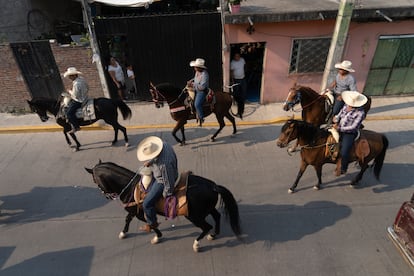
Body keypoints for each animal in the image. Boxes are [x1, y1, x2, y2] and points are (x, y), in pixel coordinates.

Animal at [85, 160, 243, 252]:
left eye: (94, 180)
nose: (106, 195)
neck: (130, 187)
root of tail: (213, 186)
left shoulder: (140, 211)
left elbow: (149, 222)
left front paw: (157, 237)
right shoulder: (134, 210)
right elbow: (128, 219)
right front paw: (124, 233)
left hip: (194, 216)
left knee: (206, 226)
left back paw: (197, 244)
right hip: (207, 209)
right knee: (217, 216)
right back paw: (214, 235)